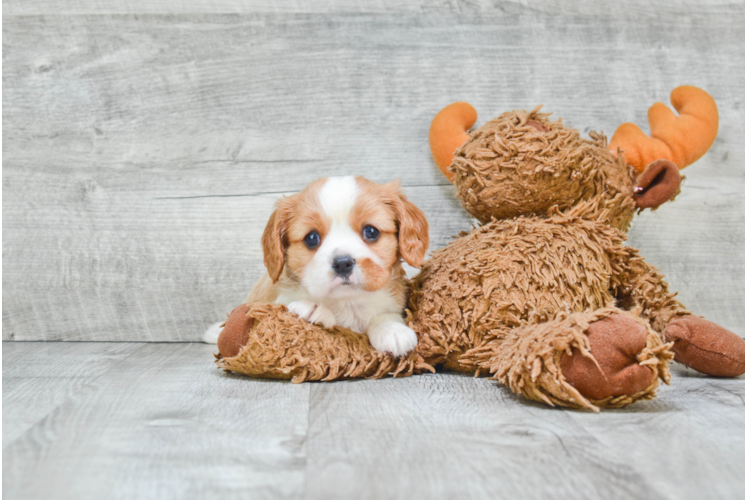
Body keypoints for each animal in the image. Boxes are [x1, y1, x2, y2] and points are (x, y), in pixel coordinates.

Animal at [205, 176, 426, 356]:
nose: (343, 263)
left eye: (371, 231)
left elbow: (386, 315)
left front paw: (392, 330)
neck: (348, 303)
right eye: (311, 238)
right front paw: (312, 307)